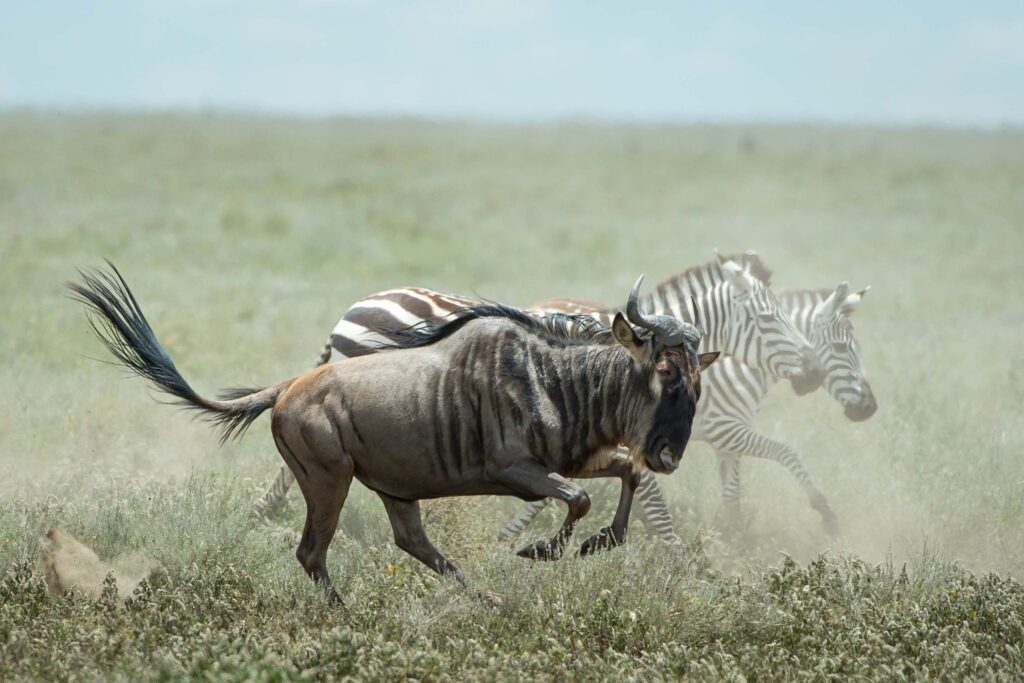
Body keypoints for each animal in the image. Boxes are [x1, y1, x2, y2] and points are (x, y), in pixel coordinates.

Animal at [499, 272, 876, 544]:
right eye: (841, 349)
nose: (869, 408)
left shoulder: (725, 442)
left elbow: (732, 493)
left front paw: (732, 539)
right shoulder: (727, 430)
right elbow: (787, 452)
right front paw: (826, 514)